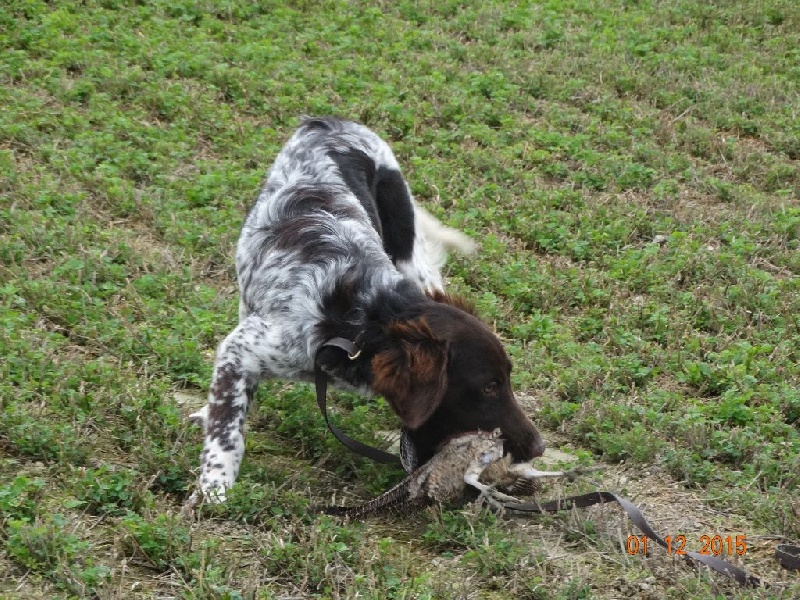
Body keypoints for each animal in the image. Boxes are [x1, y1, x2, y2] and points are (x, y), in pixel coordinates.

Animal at [191, 117, 548, 502]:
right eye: (489, 387)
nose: (539, 447)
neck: (361, 322)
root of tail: (329, 122)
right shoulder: (243, 349)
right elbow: (227, 429)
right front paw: (214, 488)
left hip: (409, 250)